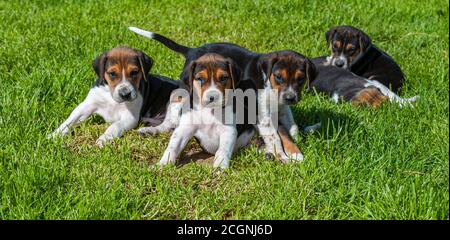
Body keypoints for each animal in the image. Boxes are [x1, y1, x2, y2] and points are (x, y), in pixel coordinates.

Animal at [48, 45, 178, 145]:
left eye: (134, 72)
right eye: (112, 73)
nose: (125, 94)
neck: (110, 96)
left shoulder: (130, 117)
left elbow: (115, 126)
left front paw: (103, 139)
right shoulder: (87, 105)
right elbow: (70, 120)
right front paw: (55, 135)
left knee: (167, 125)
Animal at [129, 26, 312, 162]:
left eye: (301, 79)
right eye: (279, 77)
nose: (290, 97)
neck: (266, 82)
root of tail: (192, 50)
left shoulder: (281, 109)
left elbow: (289, 127)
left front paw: (295, 146)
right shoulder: (262, 115)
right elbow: (276, 137)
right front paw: (286, 155)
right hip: (182, 95)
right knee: (170, 122)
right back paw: (152, 130)